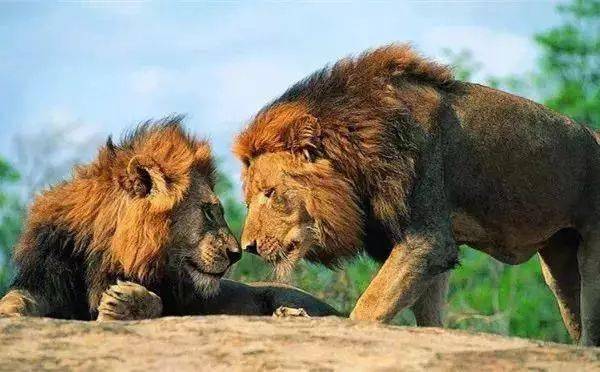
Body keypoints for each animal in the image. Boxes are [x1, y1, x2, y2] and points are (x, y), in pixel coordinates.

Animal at [0, 118, 338, 320]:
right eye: (209, 211)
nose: (236, 254)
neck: (104, 256)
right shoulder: (45, 281)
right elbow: (17, 298)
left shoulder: (180, 303)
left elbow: (156, 303)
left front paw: (126, 304)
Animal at [232, 43, 600, 346]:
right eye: (249, 200)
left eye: (270, 193)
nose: (248, 247)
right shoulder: (429, 248)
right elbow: (429, 316)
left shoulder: (428, 239)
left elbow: (369, 306)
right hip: (559, 265)